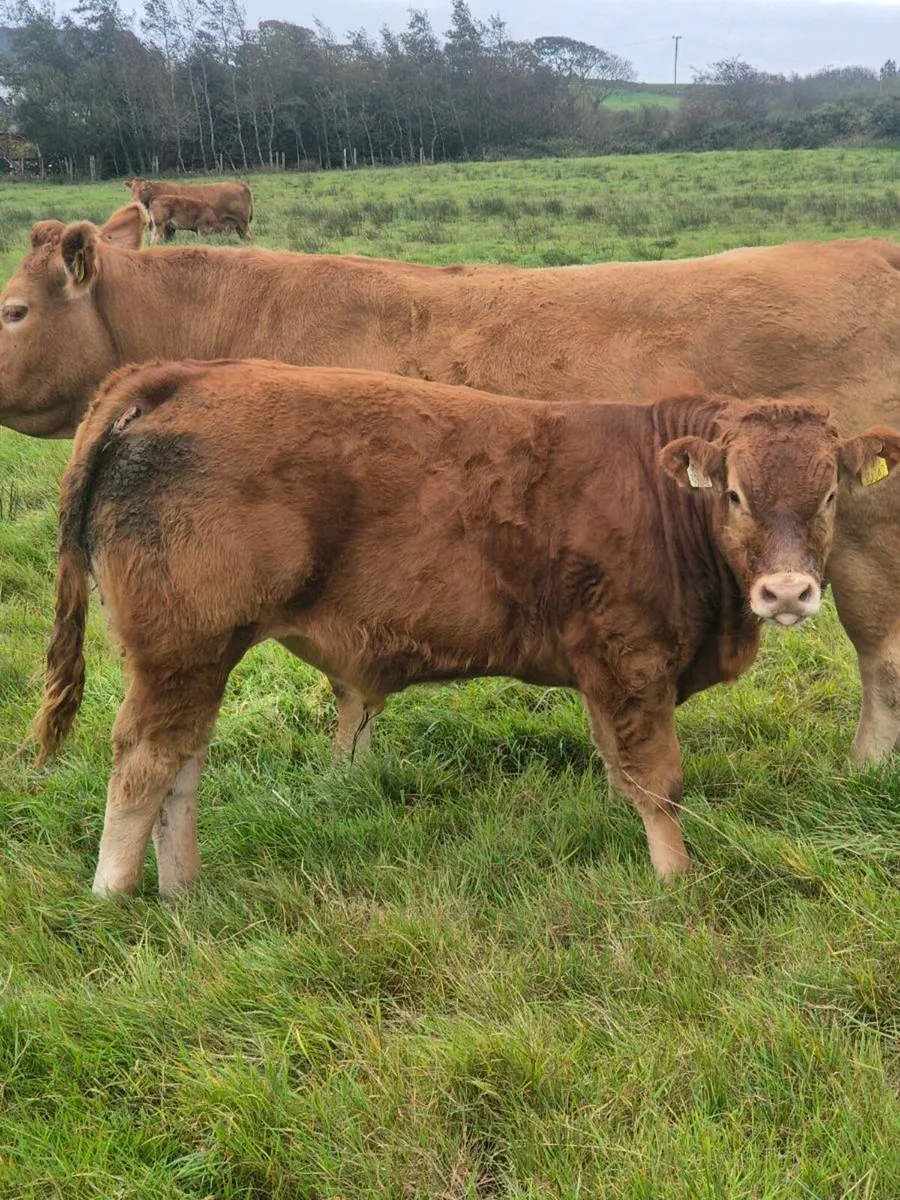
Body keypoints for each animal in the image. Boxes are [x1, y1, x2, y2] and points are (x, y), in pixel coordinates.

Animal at [33, 359, 900, 896]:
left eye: (828, 494)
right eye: (736, 495)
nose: (787, 592)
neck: (660, 497)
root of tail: (179, 376)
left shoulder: (601, 672)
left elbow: (617, 768)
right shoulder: (631, 659)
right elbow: (658, 780)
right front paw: (674, 880)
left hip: (198, 658)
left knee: (183, 760)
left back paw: (181, 887)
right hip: (181, 650)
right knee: (143, 760)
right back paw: (115, 895)